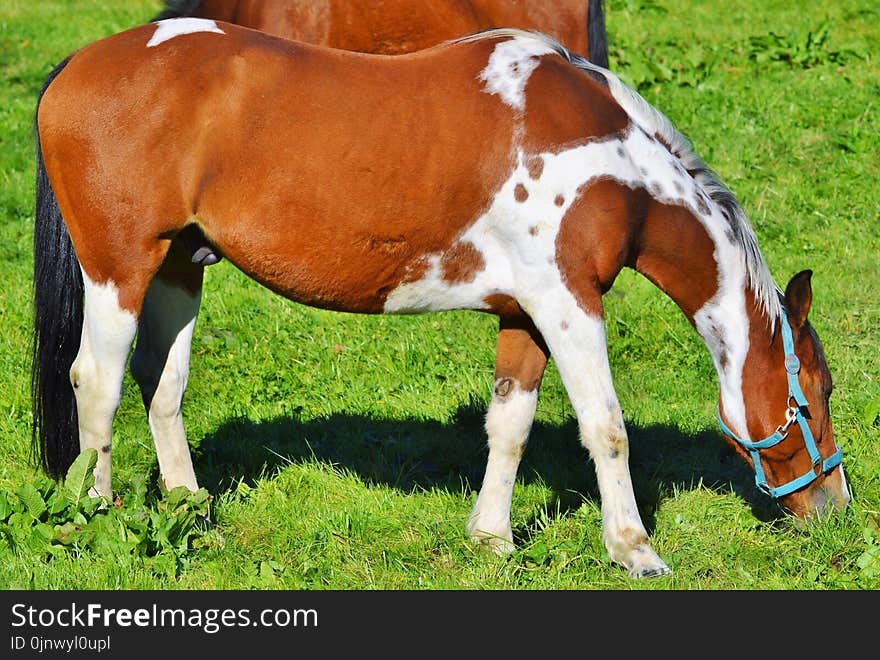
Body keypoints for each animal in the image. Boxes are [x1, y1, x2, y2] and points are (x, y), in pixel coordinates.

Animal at [34, 19, 852, 576]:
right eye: (815, 394)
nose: (836, 509)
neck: (613, 165)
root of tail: (76, 65)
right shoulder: (569, 304)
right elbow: (606, 427)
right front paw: (633, 549)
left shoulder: (526, 313)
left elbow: (510, 425)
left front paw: (491, 536)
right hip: (120, 269)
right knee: (97, 384)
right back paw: (92, 515)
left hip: (181, 265)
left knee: (162, 384)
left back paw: (188, 509)